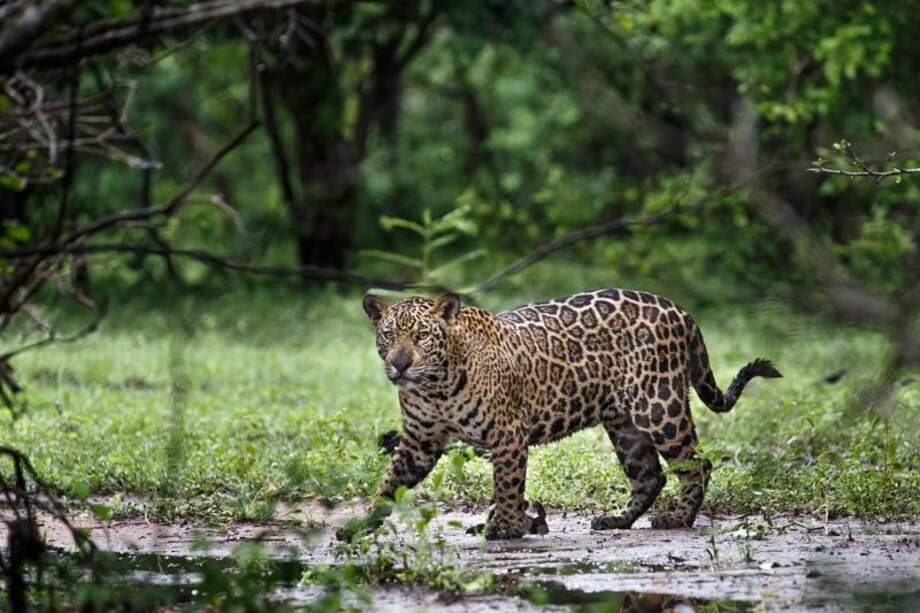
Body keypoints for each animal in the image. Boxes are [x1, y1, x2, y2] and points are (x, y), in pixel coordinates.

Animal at [357, 289, 781, 540]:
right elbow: (388, 484)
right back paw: (617, 520)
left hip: (659, 407)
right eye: (387, 335)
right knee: (650, 475)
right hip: (623, 422)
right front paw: (359, 525)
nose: (399, 364)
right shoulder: (419, 442)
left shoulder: (508, 434)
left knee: (698, 463)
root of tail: (679, 309)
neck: (436, 387)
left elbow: (507, 485)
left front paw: (505, 527)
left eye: (422, 336)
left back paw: (678, 519)